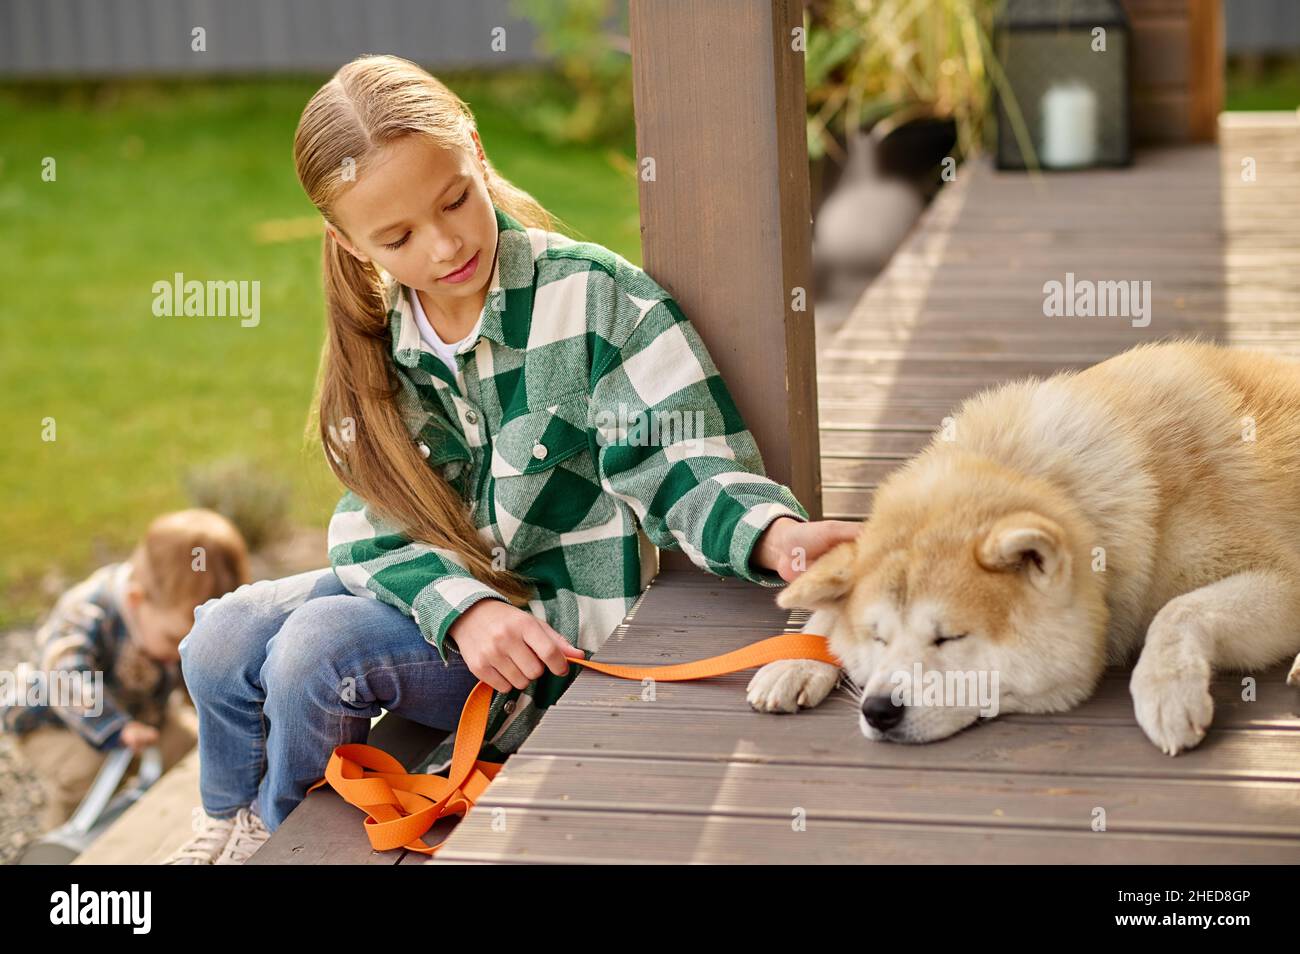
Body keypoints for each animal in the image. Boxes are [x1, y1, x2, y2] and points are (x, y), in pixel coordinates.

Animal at [748, 340, 1300, 759]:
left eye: (949, 637)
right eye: (878, 638)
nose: (879, 708)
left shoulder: (1279, 576)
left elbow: (1178, 609)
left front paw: (1164, 688)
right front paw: (797, 658)